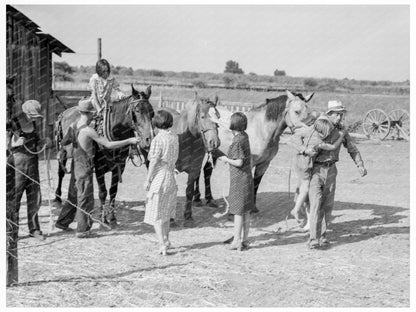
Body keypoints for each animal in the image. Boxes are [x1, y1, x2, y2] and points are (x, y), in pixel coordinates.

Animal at [54, 85, 154, 225]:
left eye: (152, 112)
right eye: (137, 111)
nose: (147, 140)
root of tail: (65, 112)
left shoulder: (120, 166)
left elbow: (113, 191)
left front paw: (112, 217)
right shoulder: (99, 167)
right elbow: (102, 192)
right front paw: (102, 218)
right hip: (63, 152)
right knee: (61, 172)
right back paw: (58, 197)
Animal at [158, 94, 221, 225]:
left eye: (218, 117)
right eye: (202, 116)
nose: (214, 142)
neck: (187, 138)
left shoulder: (194, 169)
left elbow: (189, 191)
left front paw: (188, 215)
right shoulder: (172, 170)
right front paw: (170, 218)